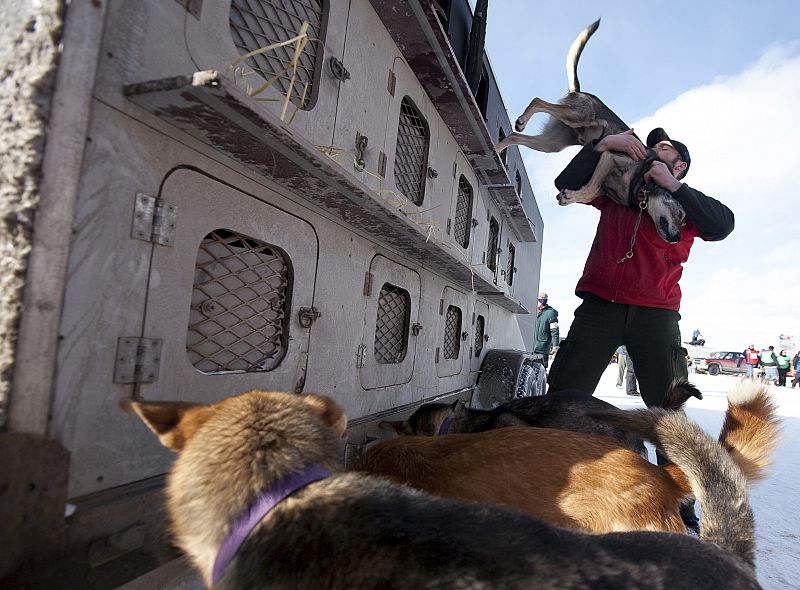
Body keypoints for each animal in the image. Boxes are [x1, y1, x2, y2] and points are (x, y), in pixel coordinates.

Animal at [494, 19, 688, 244]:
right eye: (680, 214)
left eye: (684, 221)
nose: (678, 239)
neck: (643, 184)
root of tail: (580, 92)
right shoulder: (609, 156)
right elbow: (592, 188)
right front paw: (569, 196)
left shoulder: (603, 177)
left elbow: (590, 189)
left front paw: (570, 195)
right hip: (578, 115)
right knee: (537, 100)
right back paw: (522, 121)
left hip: (551, 143)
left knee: (514, 135)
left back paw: (496, 148)